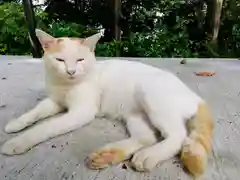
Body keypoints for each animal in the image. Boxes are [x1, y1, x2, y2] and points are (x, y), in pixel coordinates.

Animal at [1, 29, 212, 177]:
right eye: (60, 60)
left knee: (178, 135)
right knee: (148, 137)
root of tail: (196, 97)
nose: (71, 71)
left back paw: (150, 155)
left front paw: (18, 142)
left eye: (80, 60)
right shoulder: (54, 101)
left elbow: (46, 127)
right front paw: (16, 124)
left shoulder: (81, 112)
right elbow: (35, 112)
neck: (65, 85)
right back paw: (107, 155)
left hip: (151, 96)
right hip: (136, 115)